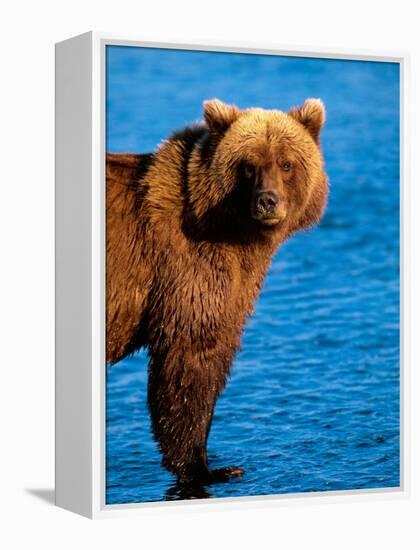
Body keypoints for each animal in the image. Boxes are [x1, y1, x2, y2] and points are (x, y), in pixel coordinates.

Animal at [106, 99, 328, 488]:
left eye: (286, 163)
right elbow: (190, 359)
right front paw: (207, 468)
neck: (232, 232)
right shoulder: (187, 269)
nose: (267, 201)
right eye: (249, 166)